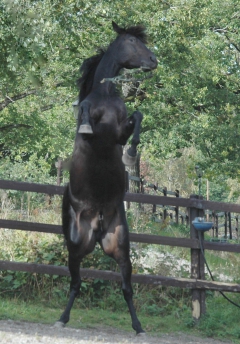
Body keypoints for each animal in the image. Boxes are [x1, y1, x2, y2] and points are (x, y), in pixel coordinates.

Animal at [56, 20, 158, 334]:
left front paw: (132, 152)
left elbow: (137, 116)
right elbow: (85, 113)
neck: (107, 96)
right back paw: (62, 319)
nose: (153, 61)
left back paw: (138, 326)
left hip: (120, 247)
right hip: (77, 244)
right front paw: (87, 123)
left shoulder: (119, 131)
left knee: (126, 287)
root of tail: (98, 224)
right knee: (75, 283)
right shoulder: (92, 131)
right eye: (132, 42)